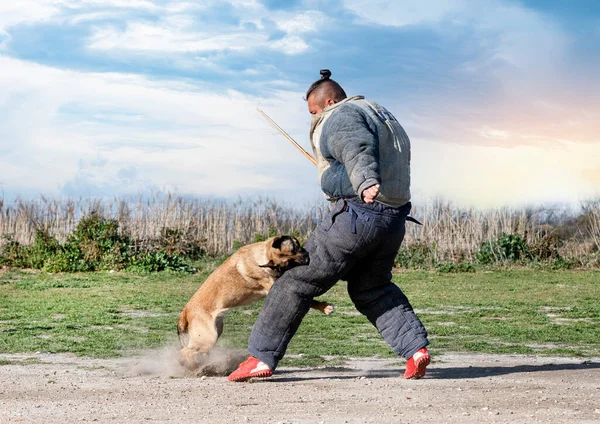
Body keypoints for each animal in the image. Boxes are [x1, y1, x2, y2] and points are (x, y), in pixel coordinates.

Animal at [176, 234, 336, 370]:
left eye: (295, 247)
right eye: (290, 257)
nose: (307, 257)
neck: (263, 255)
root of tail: (185, 311)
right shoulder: (272, 285)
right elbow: (309, 299)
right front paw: (325, 307)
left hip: (214, 331)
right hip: (208, 337)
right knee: (185, 352)